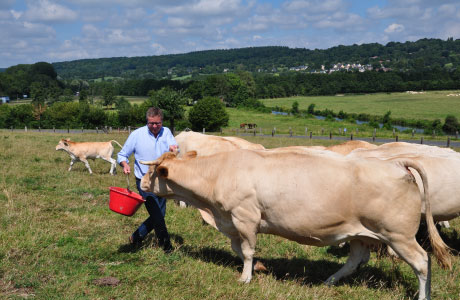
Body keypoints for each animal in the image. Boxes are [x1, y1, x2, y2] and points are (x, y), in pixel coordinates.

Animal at [140, 150, 450, 300]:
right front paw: (260, 268)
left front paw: (246, 277)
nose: (141, 184)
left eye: (153, 172)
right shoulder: (233, 220)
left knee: (422, 261)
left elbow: (247, 251)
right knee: (356, 259)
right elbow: (239, 250)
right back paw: (329, 281)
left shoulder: (245, 216)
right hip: (361, 232)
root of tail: (395, 162)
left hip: (398, 234)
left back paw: (424, 296)